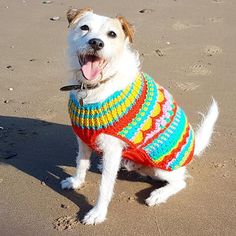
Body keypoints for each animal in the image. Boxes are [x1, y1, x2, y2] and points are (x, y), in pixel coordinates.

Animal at [60, 7, 218, 225]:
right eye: (84, 27)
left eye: (112, 34)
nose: (96, 42)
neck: (95, 87)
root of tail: (193, 148)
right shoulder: (83, 139)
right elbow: (81, 164)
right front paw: (76, 181)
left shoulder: (112, 149)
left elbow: (105, 187)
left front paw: (98, 212)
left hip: (162, 166)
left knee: (181, 182)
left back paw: (159, 194)